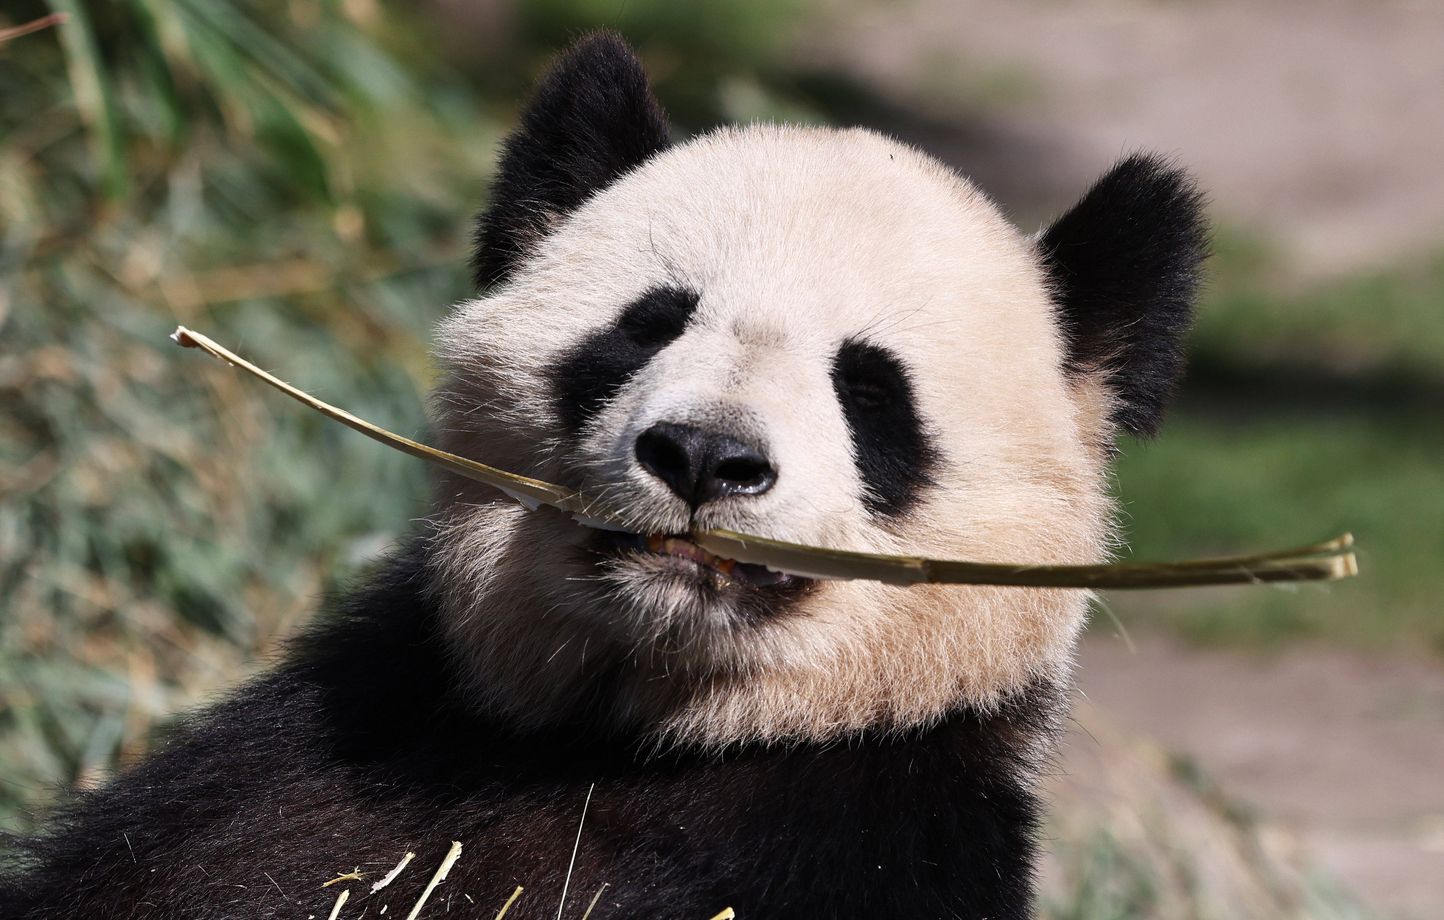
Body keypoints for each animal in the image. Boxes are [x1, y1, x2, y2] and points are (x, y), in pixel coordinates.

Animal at [0, 33, 1205, 920]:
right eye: (648, 326)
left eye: (870, 391)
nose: (705, 457)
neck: (631, 737)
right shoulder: (310, 763)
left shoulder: (875, 836)